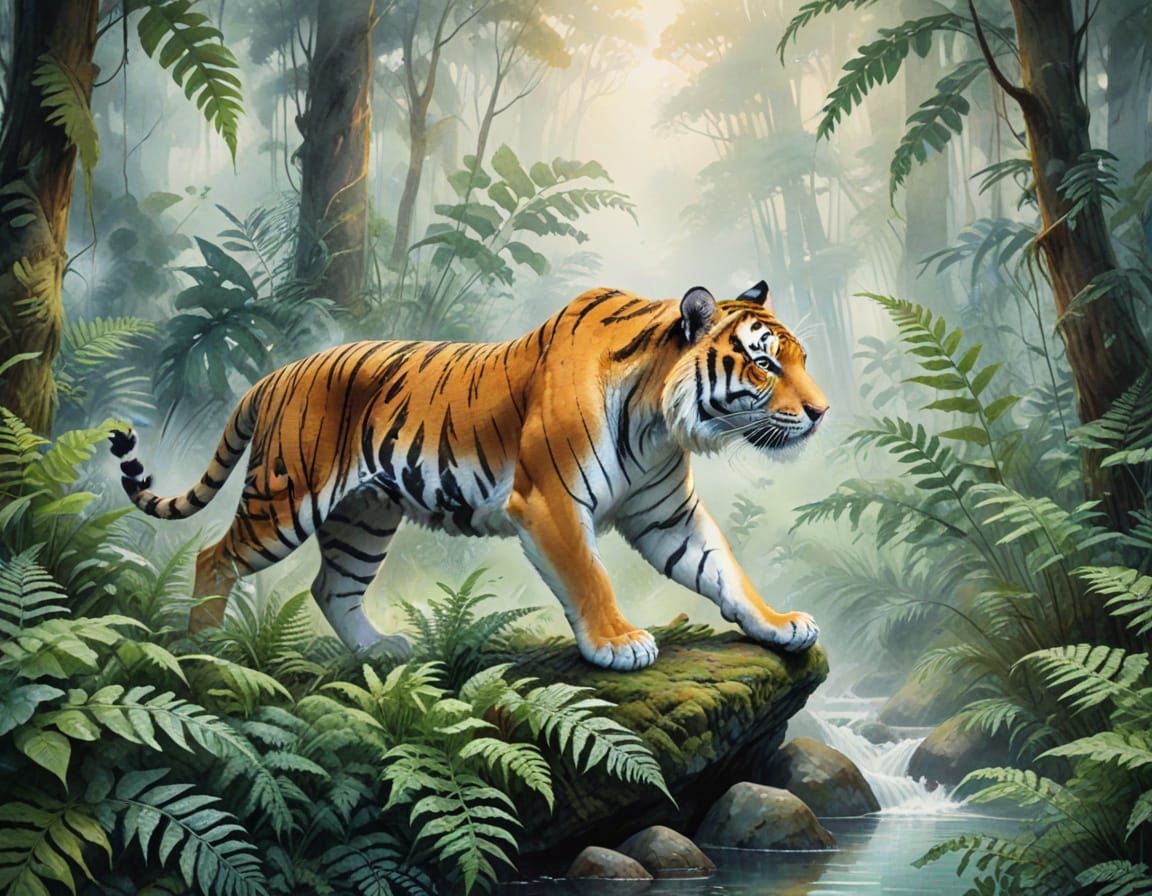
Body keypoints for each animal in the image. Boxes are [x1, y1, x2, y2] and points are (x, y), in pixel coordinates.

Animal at [109, 281, 828, 671]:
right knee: (214, 557)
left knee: (330, 586)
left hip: (363, 517)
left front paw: (778, 623)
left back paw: (378, 649)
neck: (658, 420)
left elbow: (724, 570)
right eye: (765, 364)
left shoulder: (667, 515)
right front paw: (618, 643)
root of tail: (275, 374)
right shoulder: (548, 502)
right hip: (284, 501)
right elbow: (589, 578)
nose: (822, 412)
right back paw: (207, 648)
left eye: (801, 359)